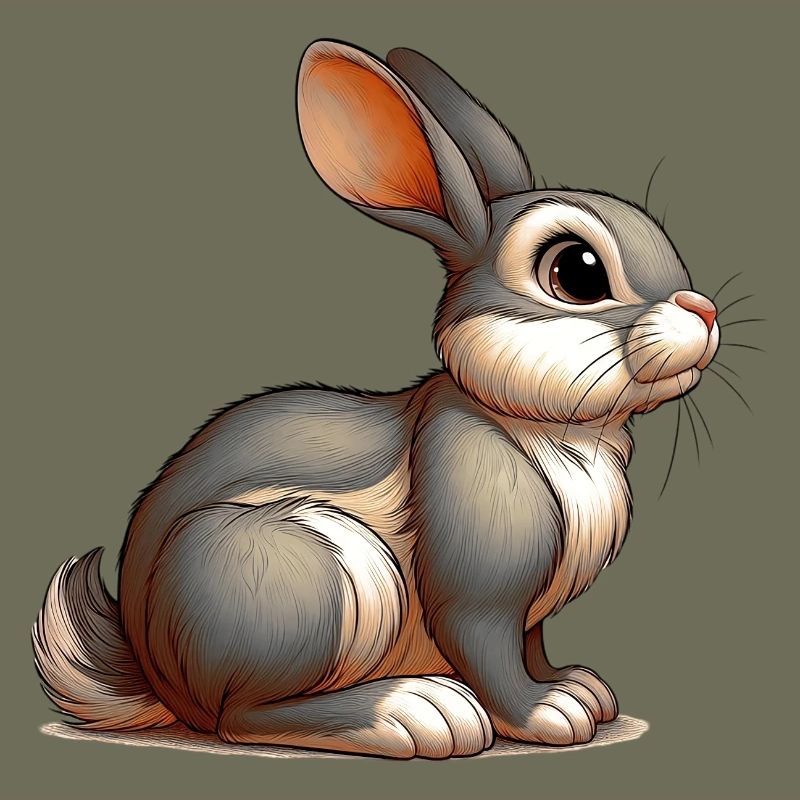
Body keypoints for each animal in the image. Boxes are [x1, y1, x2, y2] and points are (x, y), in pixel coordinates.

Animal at [32, 39, 720, 759]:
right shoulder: (477, 591)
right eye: (576, 272)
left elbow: (531, 650)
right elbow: (490, 652)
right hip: (316, 574)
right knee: (244, 717)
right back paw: (417, 712)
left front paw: (580, 689)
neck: (537, 425)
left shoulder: (530, 617)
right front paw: (550, 714)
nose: (703, 312)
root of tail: (161, 677)